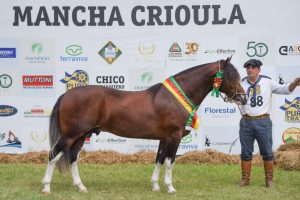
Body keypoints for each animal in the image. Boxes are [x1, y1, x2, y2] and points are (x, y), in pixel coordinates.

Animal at [42, 56, 248, 194]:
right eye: (231, 76)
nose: (243, 98)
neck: (176, 97)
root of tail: (67, 94)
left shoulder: (164, 138)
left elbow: (159, 159)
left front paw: (155, 186)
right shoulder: (174, 136)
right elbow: (170, 161)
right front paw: (170, 187)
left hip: (81, 135)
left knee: (72, 158)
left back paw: (80, 187)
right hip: (70, 135)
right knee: (53, 155)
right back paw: (46, 187)